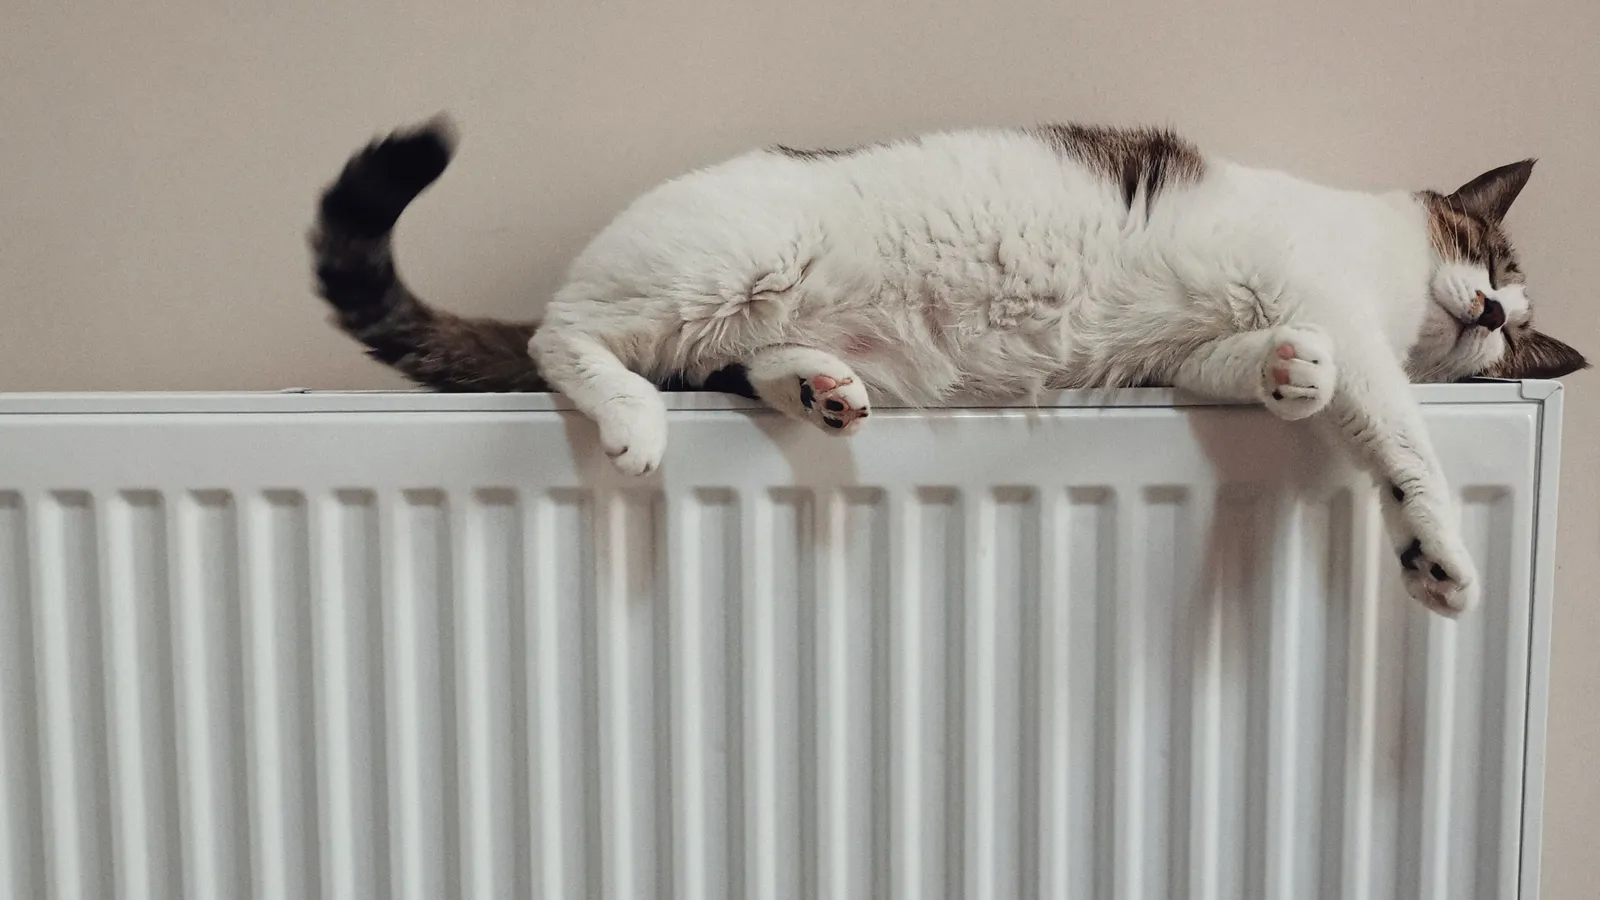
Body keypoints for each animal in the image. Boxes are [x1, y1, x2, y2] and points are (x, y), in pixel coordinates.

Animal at [305, 117, 1580, 614]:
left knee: (734, 364)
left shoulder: (1193, 352)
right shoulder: (1352, 323)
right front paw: (1436, 554)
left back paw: (817, 387)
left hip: (734, 319)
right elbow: (1401, 438)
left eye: (1512, 337)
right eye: (1491, 261)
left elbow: (1269, 366)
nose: (1488, 311)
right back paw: (631, 418)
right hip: (723, 263)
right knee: (563, 337)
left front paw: (1286, 378)